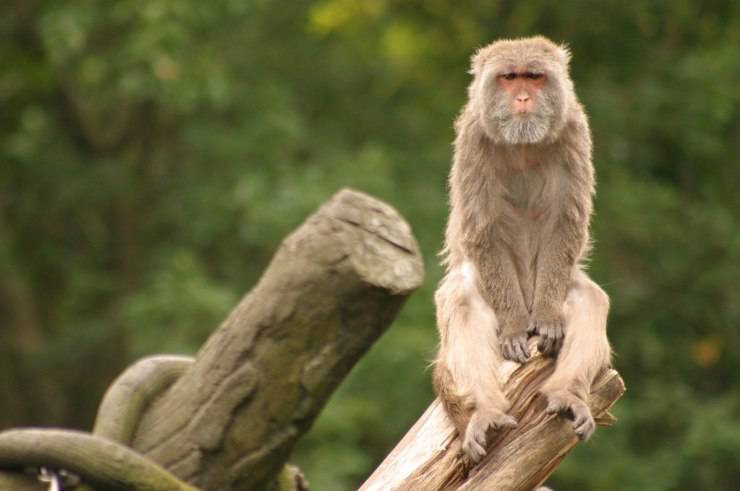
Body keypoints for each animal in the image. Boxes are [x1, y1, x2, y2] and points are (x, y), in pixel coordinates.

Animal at [432, 36, 612, 464]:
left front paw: (547, 319)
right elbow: (483, 233)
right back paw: (484, 409)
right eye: (510, 77)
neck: (524, 144)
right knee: (463, 298)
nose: (524, 98)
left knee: (587, 300)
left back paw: (567, 392)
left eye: (534, 76)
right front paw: (515, 327)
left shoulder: (574, 130)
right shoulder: (473, 138)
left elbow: (566, 223)